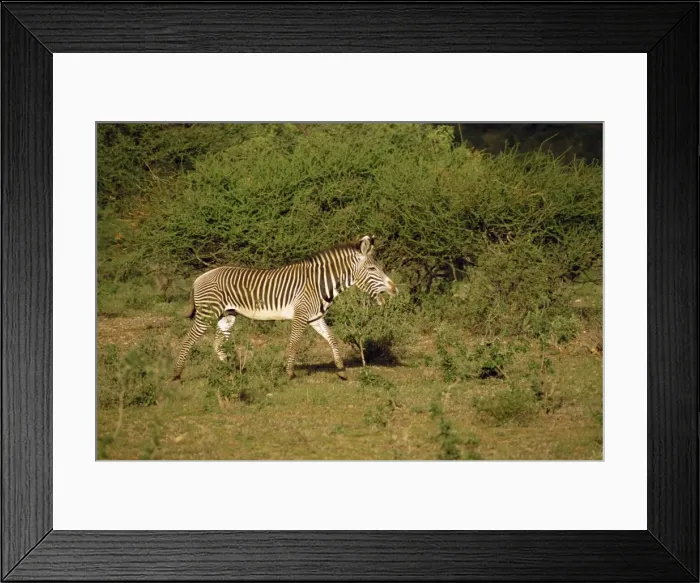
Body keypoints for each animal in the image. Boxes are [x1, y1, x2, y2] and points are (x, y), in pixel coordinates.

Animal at [172, 235, 398, 381]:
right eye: (372, 269)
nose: (394, 289)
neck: (318, 284)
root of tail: (199, 278)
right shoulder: (301, 315)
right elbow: (294, 343)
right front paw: (289, 373)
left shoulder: (315, 317)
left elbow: (332, 339)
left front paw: (341, 370)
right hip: (207, 313)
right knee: (188, 340)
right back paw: (177, 374)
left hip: (227, 315)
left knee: (218, 344)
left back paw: (229, 372)